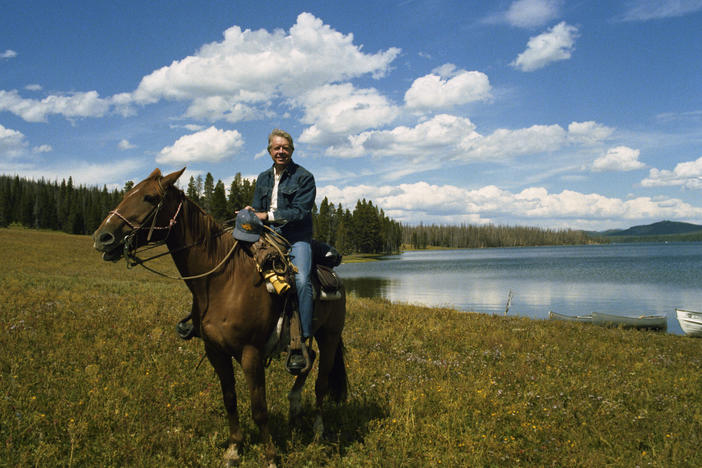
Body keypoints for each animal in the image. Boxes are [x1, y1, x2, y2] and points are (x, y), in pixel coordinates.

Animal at [91, 168, 350, 464]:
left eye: (149, 198)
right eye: (127, 193)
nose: (102, 237)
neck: (222, 280)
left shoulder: (250, 353)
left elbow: (259, 408)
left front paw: (271, 456)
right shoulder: (215, 351)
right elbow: (230, 400)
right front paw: (234, 449)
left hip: (329, 335)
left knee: (321, 382)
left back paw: (318, 429)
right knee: (308, 359)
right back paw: (294, 404)